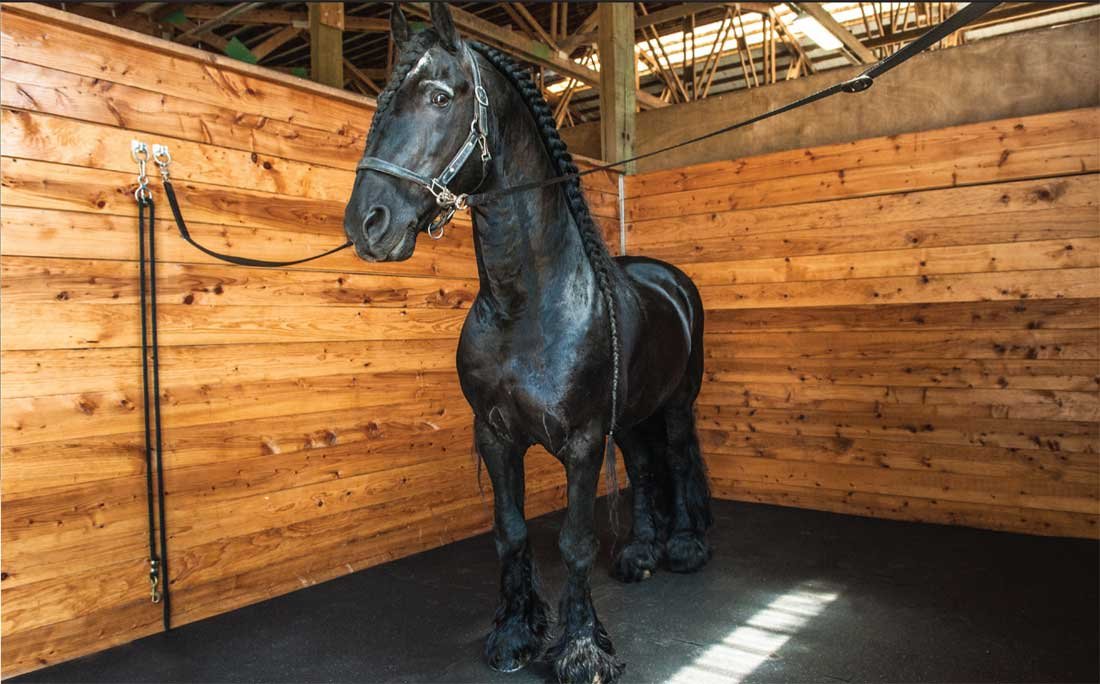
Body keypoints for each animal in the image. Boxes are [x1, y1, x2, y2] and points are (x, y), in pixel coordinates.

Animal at [343, 5, 712, 682]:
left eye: (440, 96)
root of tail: (669, 279)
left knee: (675, 460)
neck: (528, 307)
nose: (366, 222)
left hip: (675, 404)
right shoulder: (496, 436)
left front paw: (582, 649)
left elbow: (574, 540)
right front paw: (516, 633)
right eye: (381, 102)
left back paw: (682, 547)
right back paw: (640, 553)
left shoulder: (584, 441)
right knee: (646, 469)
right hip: (631, 417)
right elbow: (511, 531)